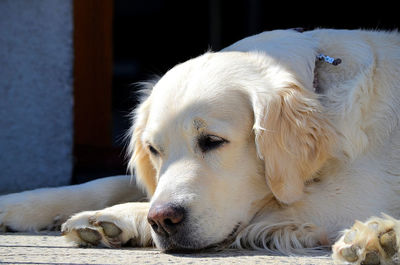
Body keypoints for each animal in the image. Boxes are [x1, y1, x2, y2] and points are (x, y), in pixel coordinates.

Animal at [0, 28, 400, 264]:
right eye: (154, 149)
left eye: (212, 141)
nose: (163, 221)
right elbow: (105, 183)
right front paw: (18, 204)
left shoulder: (356, 194)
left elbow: (261, 209)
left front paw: (120, 216)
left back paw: (375, 238)